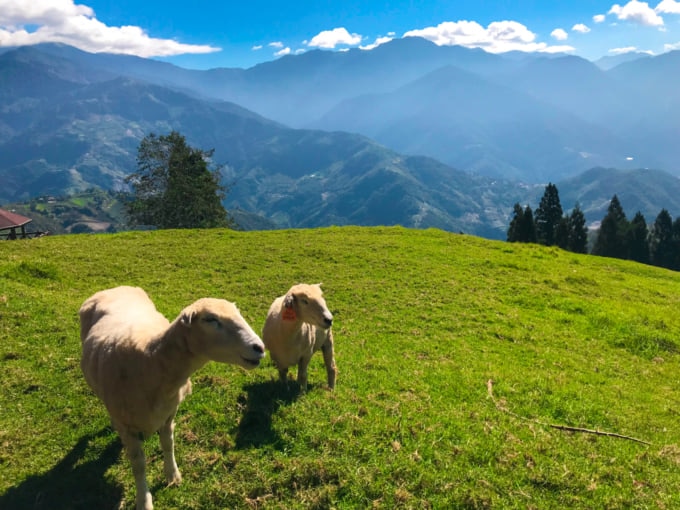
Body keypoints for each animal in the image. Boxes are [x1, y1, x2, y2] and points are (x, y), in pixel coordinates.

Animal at [77, 286, 262, 510]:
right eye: (210, 319)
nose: (259, 348)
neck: (151, 360)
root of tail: (114, 288)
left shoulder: (168, 414)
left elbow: (168, 443)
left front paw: (172, 475)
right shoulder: (126, 425)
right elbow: (139, 465)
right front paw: (144, 500)